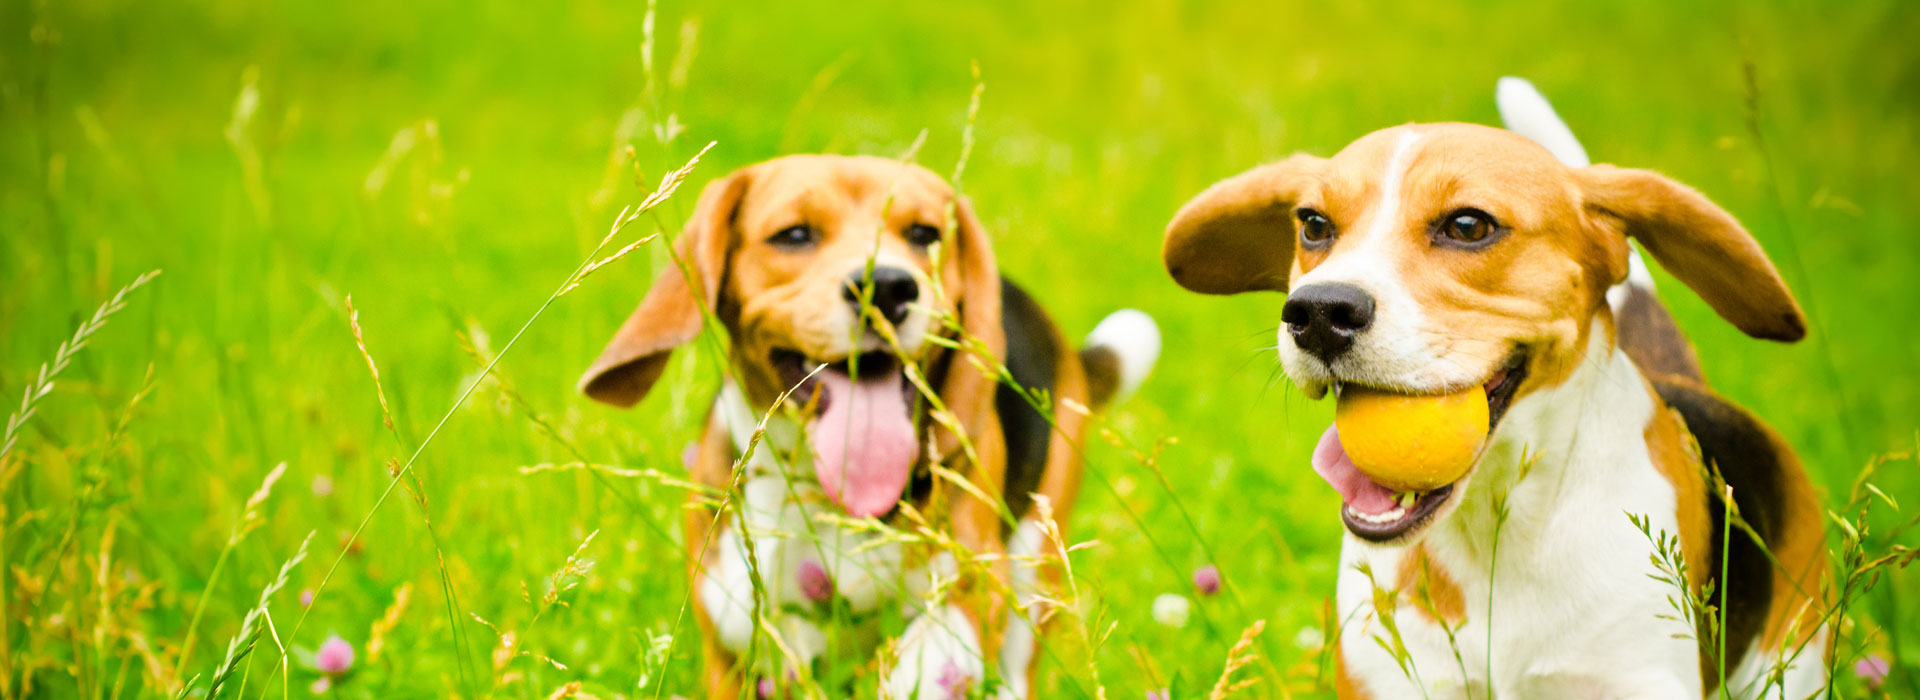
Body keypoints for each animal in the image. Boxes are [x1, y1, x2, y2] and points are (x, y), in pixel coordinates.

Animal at [579, 155, 1152, 694]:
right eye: (794, 235)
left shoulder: (971, 592)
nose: (888, 287)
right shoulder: (736, 630)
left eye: (924, 234)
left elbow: (916, 667)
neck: (826, 497)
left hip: (1035, 565)